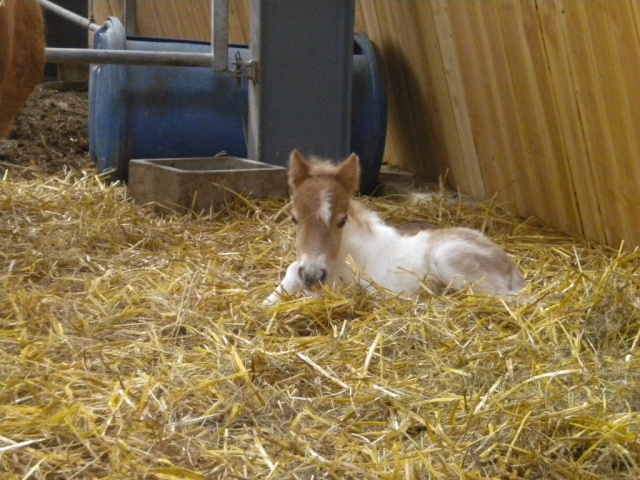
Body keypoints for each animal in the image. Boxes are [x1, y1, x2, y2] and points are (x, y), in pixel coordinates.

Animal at [262, 152, 524, 306]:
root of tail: (508, 264)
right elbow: (291, 271)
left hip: (450, 260)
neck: (344, 254)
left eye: (342, 221)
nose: (312, 274)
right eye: (294, 218)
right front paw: (269, 302)